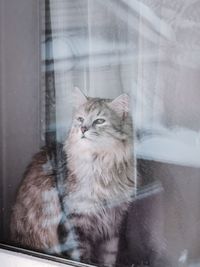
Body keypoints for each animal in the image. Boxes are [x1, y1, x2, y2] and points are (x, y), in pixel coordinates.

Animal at [10, 88, 136, 267]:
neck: (100, 166)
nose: (83, 128)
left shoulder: (112, 226)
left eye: (99, 121)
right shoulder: (75, 224)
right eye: (80, 119)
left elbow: (109, 257)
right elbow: (81, 256)